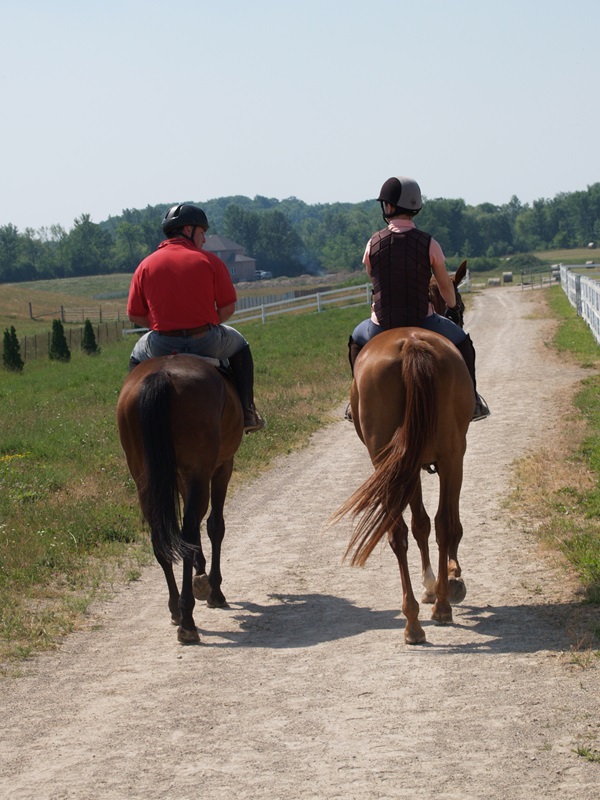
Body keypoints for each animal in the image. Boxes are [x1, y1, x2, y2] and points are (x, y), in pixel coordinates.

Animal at [116, 354, 244, 644]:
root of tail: (161, 375)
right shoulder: (222, 467)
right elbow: (214, 526)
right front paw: (213, 589)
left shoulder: (180, 477)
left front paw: (201, 575)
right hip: (201, 470)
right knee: (188, 533)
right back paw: (188, 619)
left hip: (144, 477)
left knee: (161, 538)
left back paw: (175, 608)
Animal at [334, 324, 474, 645]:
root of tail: (411, 343)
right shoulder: (453, 458)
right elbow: (441, 523)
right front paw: (448, 576)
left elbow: (422, 524)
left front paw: (435, 582)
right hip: (444, 456)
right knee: (440, 524)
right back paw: (438, 607)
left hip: (396, 463)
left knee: (402, 532)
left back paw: (415, 621)